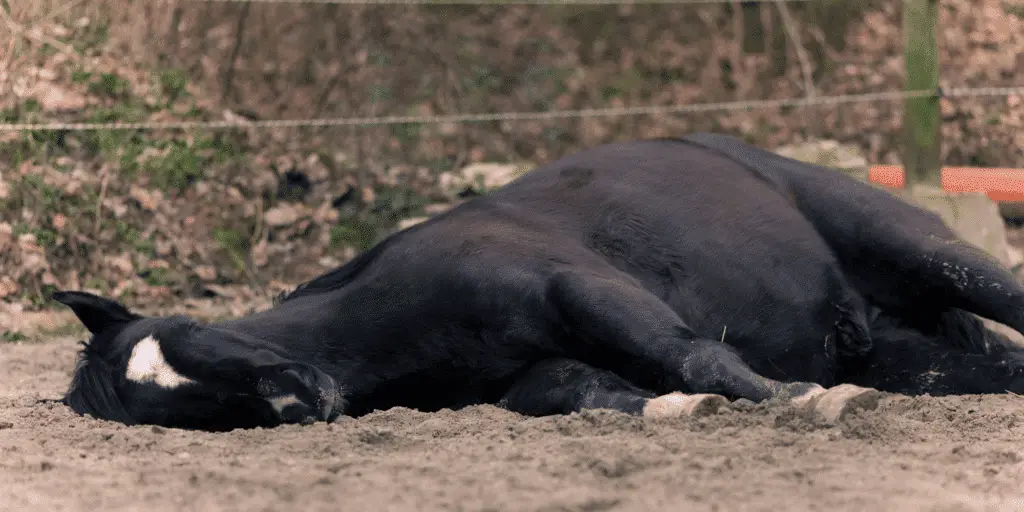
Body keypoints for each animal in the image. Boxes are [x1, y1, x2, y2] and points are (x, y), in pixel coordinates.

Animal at [51, 133, 1024, 432]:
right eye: (180, 408)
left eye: (189, 338)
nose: (300, 396)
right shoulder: (536, 377)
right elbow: (596, 391)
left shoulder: (580, 288)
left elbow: (695, 356)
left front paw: (794, 400)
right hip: (906, 351)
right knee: (995, 367)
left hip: (919, 247)